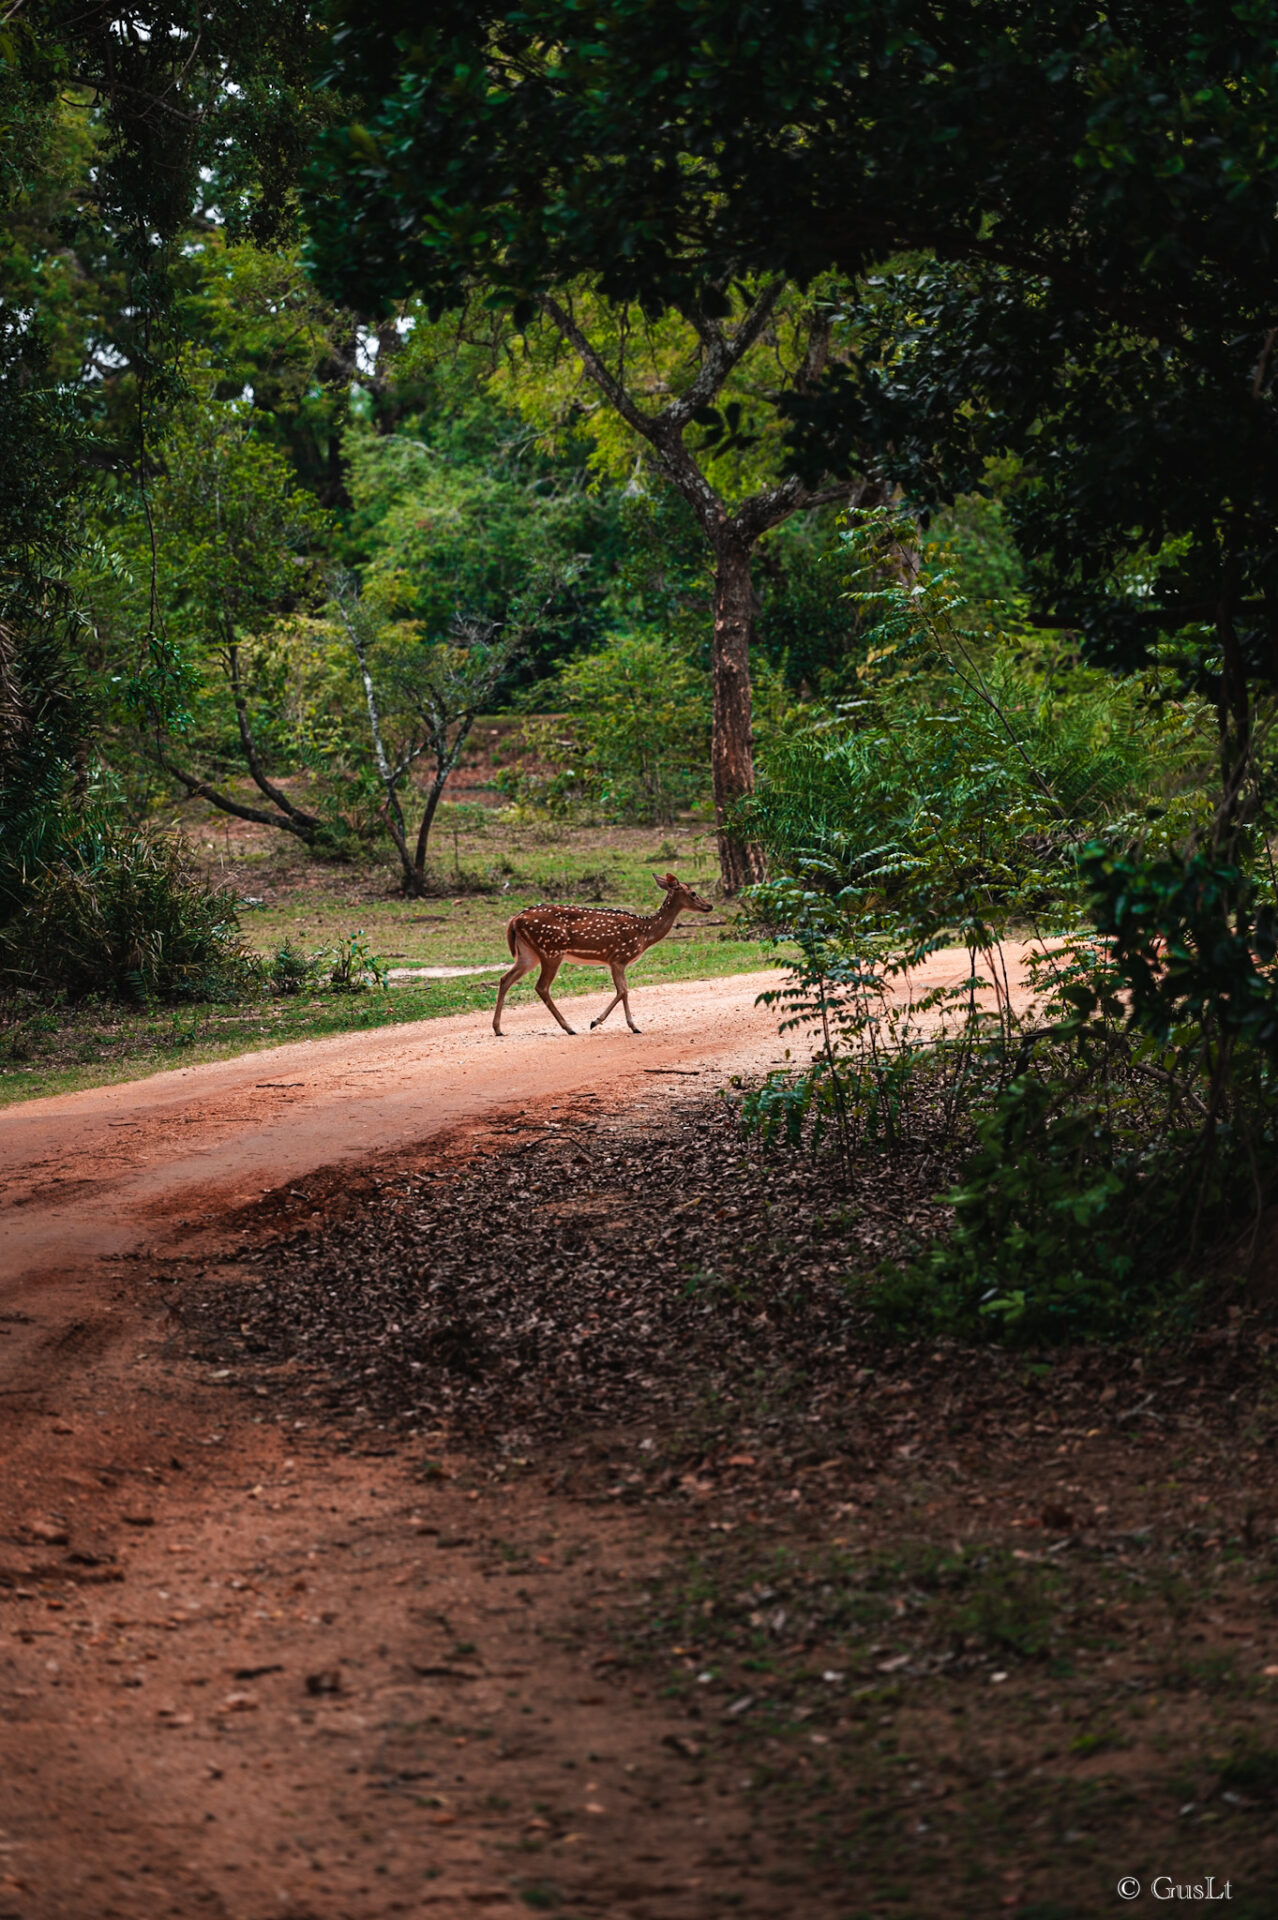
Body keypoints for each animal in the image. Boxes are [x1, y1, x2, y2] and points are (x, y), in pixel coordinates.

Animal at [489, 879, 710, 1036]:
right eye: (693, 893)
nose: (710, 906)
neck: (644, 933)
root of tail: (515, 919)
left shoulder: (616, 961)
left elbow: (624, 991)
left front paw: (632, 1026)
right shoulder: (618, 957)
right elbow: (623, 990)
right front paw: (597, 1022)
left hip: (529, 954)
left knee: (505, 978)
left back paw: (498, 1029)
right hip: (551, 950)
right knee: (541, 986)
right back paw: (569, 1027)